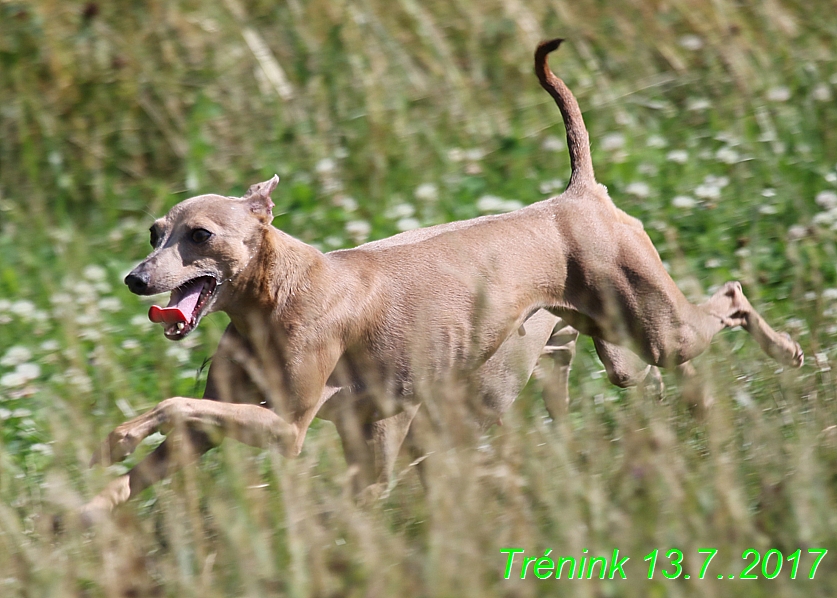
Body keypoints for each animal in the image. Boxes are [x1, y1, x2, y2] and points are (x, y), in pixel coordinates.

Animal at [80, 39, 804, 524]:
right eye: (154, 231)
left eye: (199, 235)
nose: (135, 280)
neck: (279, 292)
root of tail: (578, 191)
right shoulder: (236, 424)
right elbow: (165, 441)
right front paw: (84, 510)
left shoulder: (288, 427)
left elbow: (175, 405)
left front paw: (121, 435)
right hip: (615, 349)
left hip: (658, 330)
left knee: (731, 295)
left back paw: (786, 350)